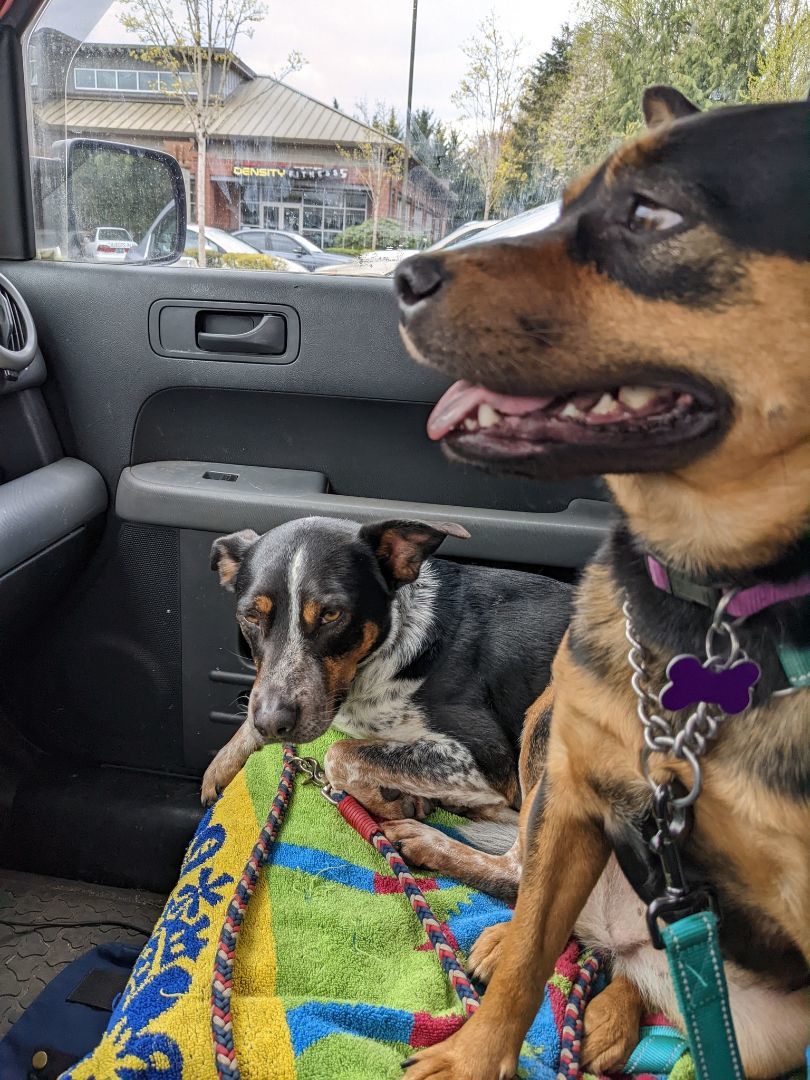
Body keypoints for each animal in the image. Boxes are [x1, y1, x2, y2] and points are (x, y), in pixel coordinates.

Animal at [203, 514, 570, 825]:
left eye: (331, 614)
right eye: (251, 615)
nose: (272, 724)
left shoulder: (486, 759)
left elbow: (338, 753)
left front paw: (391, 802)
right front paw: (220, 765)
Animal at [390, 88, 807, 1075]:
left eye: (651, 213)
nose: (404, 276)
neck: (708, 608)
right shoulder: (577, 785)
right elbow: (524, 963)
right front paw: (474, 1054)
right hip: (548, 734)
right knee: (533, 898)